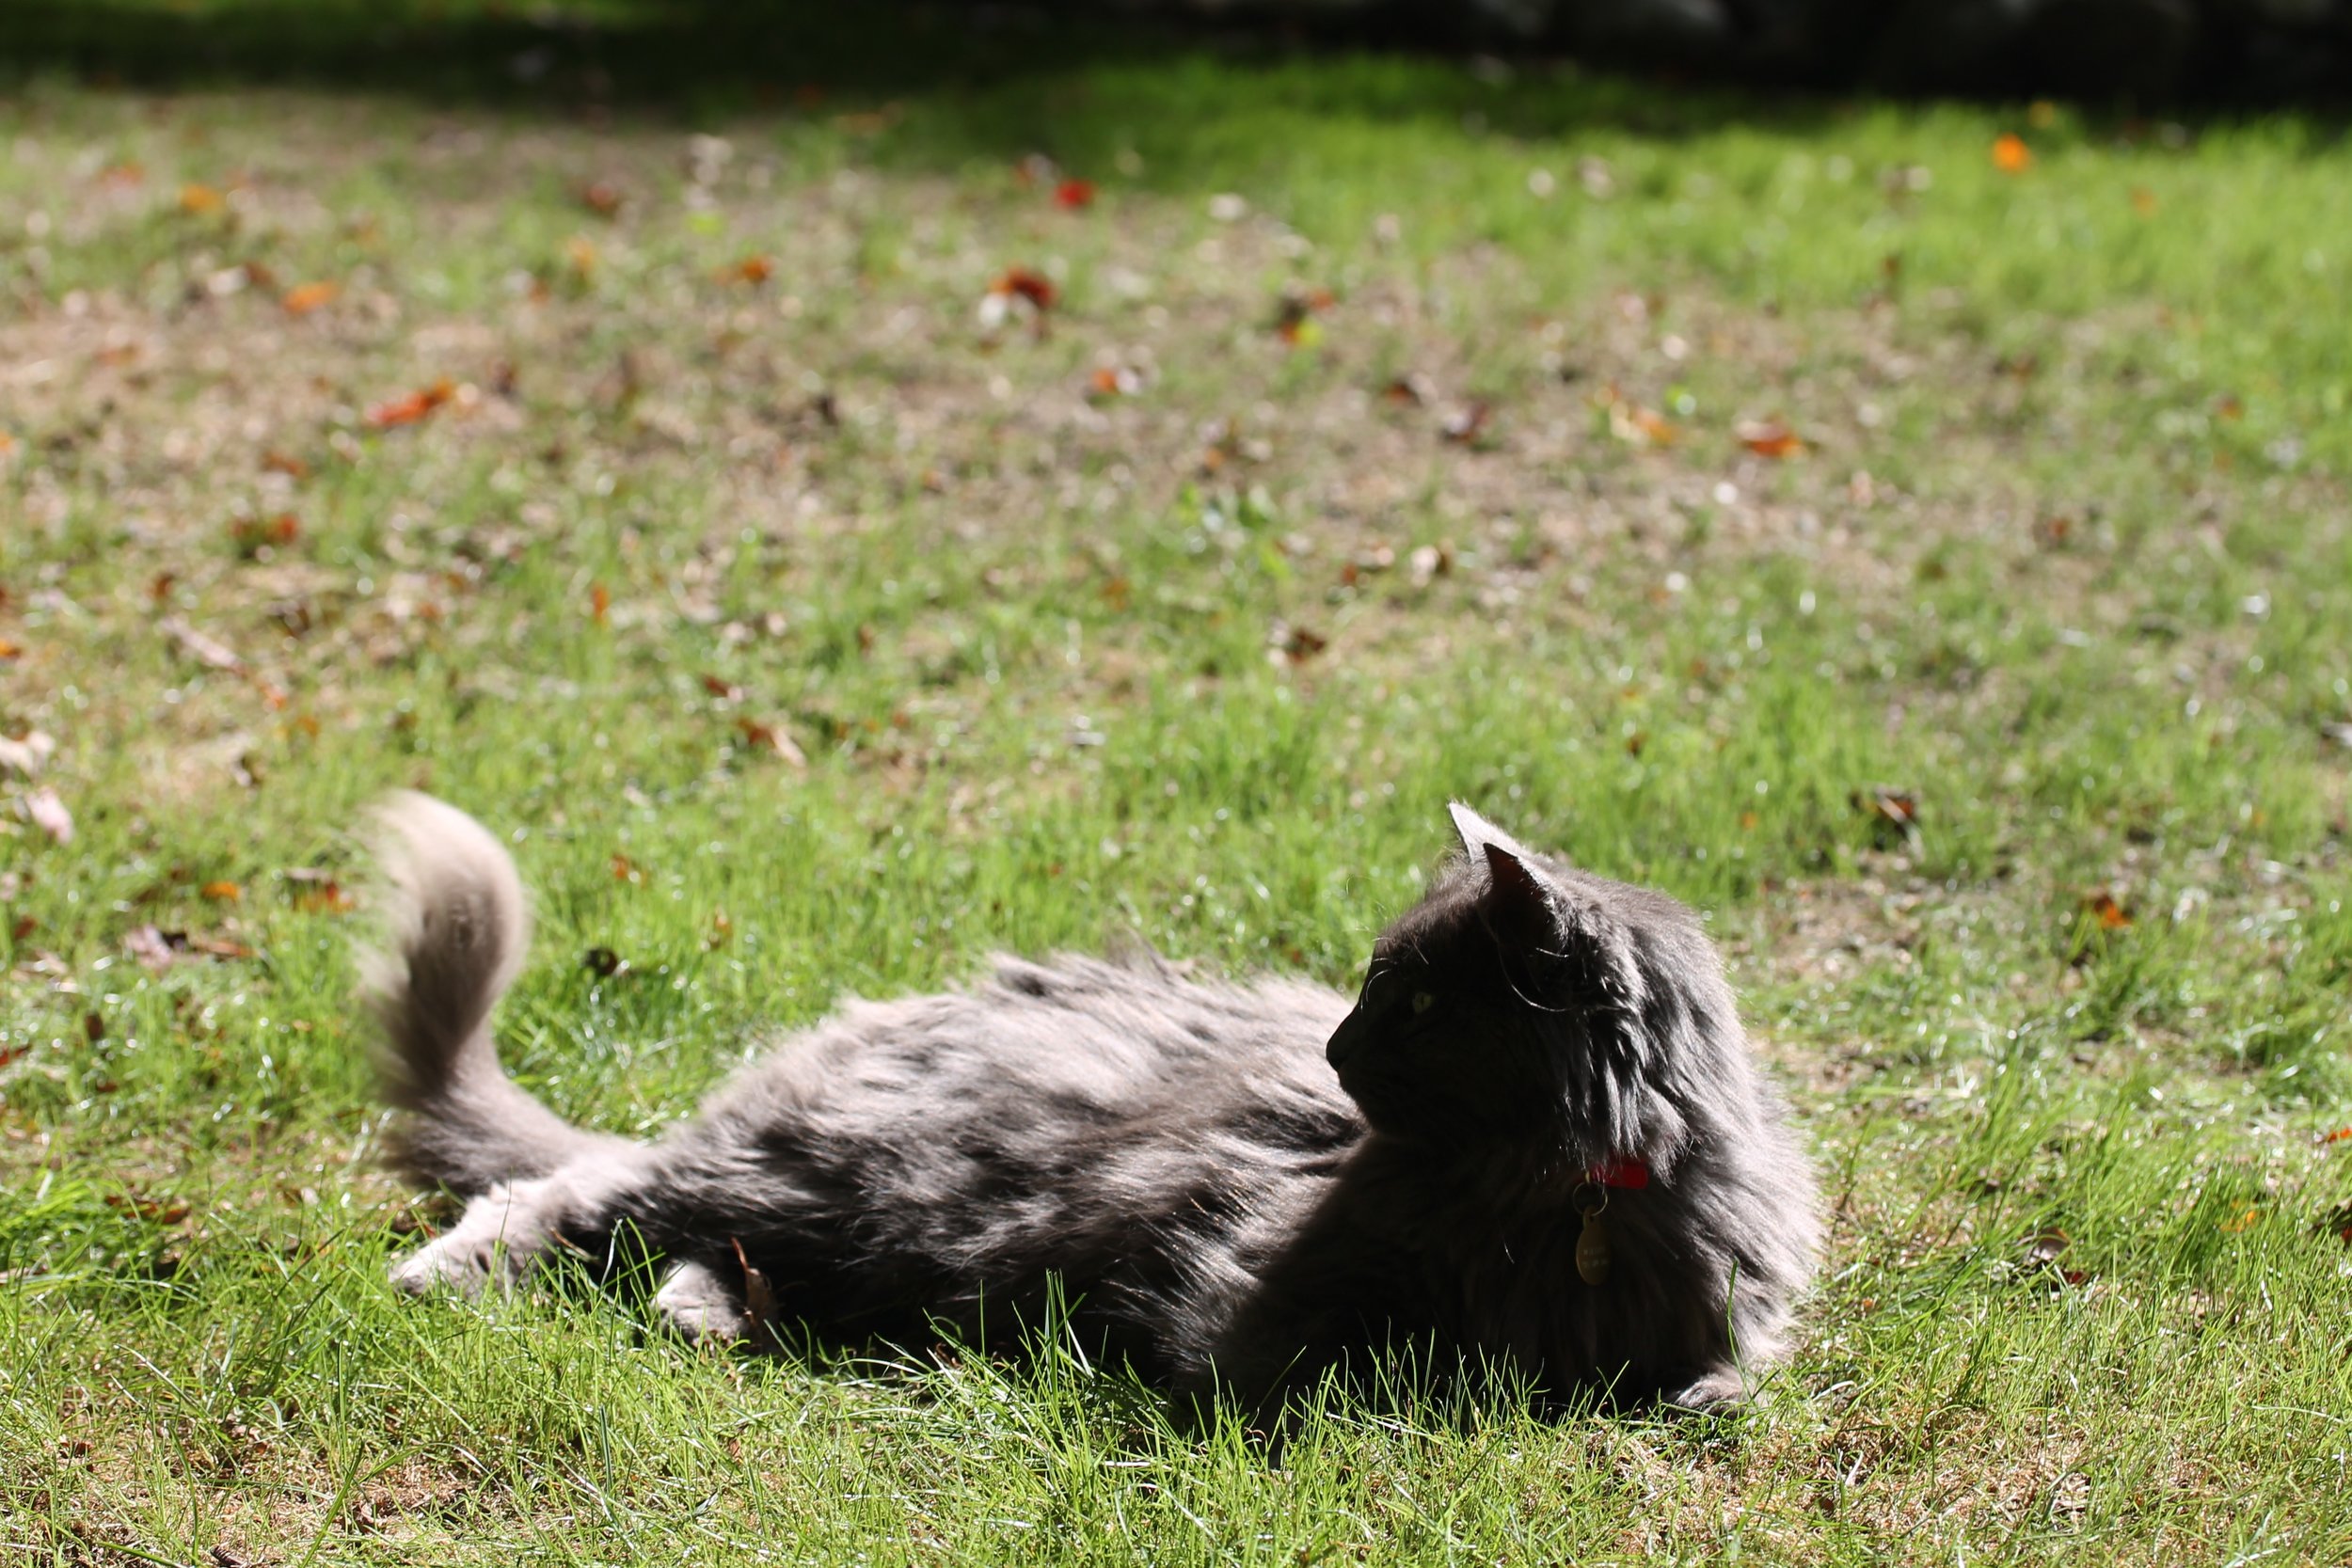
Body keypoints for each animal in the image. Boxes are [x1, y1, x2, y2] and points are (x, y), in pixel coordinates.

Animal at [372, 799, 1816, 1410]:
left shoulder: (1724, 1320)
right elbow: (1364, 1368)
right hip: (826, 1172)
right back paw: (440, 1276)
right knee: (569, 1189)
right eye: (1371, 985)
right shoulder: (1255, 1291)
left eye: (1409, 1001)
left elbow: (1711, 1382)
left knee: (682, 1240)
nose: (1335, 1044)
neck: (1553, 1205)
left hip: (836, 1216)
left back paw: (703, 1314)